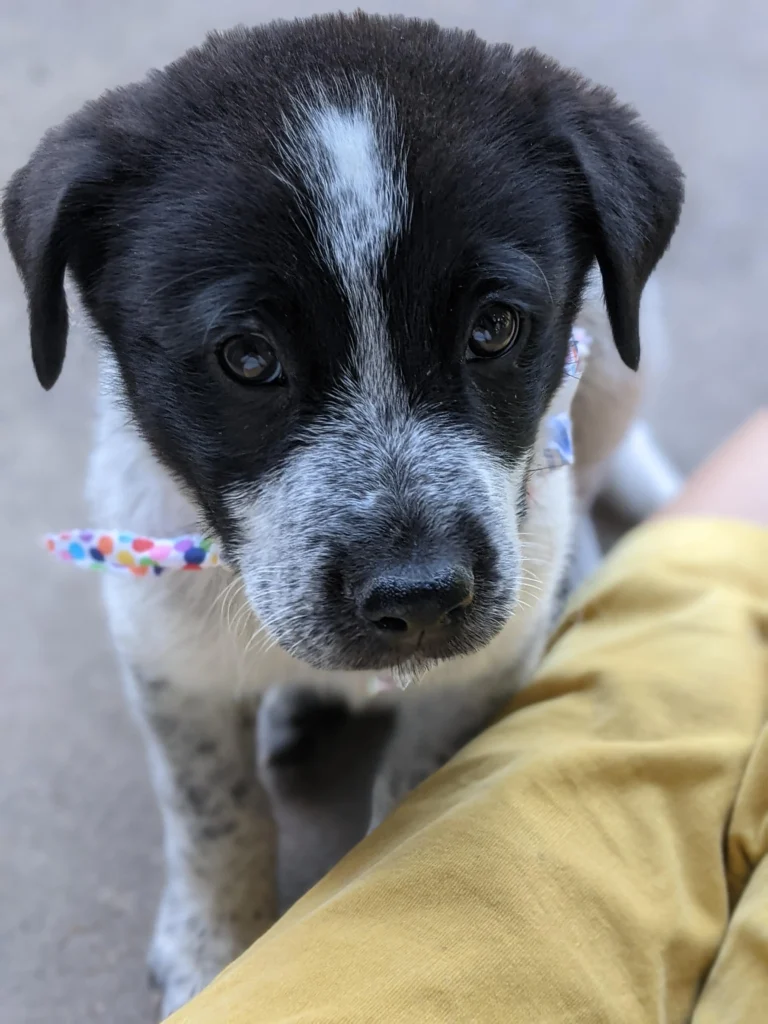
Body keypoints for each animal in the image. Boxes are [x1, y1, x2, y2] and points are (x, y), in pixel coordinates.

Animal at [1, 9, 684, 1015]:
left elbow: (419, 792)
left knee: (592, 480)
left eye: (495, 330)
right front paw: (211, 949)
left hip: (621, 369)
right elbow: (216, 814)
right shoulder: (165, 660)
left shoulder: (476, 667)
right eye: (247, 357)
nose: (421, 599)